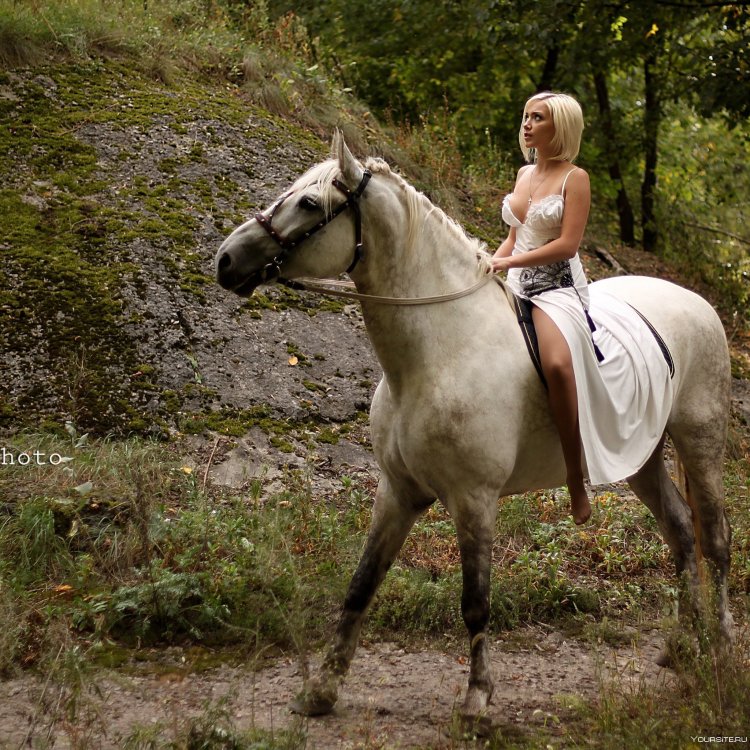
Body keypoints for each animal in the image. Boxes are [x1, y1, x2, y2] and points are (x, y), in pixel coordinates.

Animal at [214, 132, 734, 724]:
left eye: (307, 203)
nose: (226, 259)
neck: (438, 353)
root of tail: (695, 301)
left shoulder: (474, 499)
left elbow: (476, 603)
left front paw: (477, 701)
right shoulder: (397, 492)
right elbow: (361, 584)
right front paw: (322, 689)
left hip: (701, 443)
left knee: (715, 539)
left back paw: (720, 648)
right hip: (639, 459)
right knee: (680, 529)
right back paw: (681, 645)